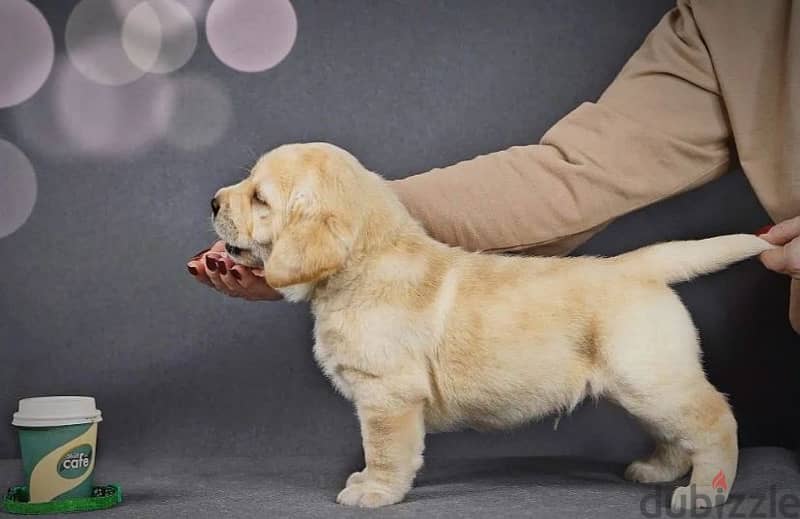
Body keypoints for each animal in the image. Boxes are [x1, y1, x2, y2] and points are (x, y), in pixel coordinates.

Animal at [212, 142, 776, 512]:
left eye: (260, 198)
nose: (214, 201)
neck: (363, 264)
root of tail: (640, 266)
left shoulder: (388, 397)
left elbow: (386, 450)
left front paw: (374, 490)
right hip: (643, 385)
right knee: (676, 434)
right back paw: (656, 469)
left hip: (653, 379)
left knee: (715, 421)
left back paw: (705, 490)